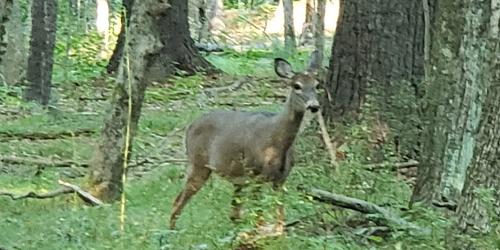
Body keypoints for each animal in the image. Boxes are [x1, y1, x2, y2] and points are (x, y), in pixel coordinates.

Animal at [170, 51, 322, 229]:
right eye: (296, 85)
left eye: (317, 85)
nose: (314, 106)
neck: (277, 143)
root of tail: (190, 126)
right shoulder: (255, 174)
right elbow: (259, 216)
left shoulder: (281, 179)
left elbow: (280, 217)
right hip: (198, 163)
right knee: (177, 202)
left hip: (236, 178)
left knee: (233, 214)